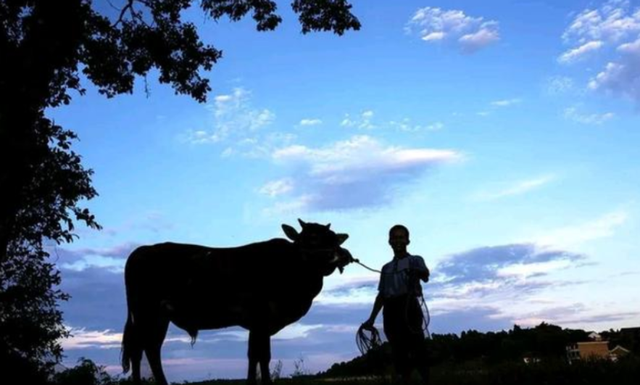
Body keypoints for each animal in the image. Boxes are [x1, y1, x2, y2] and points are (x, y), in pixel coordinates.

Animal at [117, 219, 352, 384]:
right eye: (311, 239)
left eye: (333, 238)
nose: (339, 256)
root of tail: (141, 250)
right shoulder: (260, 318)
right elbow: (261, 355)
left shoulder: (259, 324)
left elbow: (256, 356)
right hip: (145, 312)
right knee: (140, 349)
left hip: (159, 317)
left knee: (150, 348)